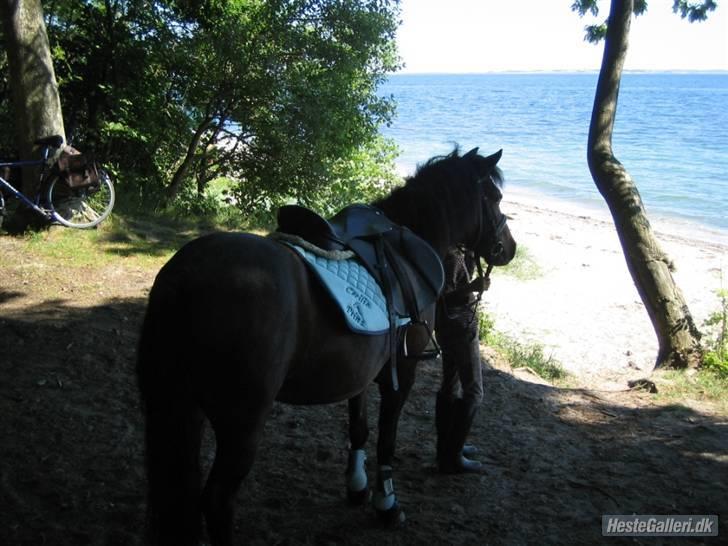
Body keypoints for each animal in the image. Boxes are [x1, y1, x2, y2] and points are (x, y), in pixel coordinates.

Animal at [136, 147, 516, 540]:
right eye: (496, 197)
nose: (509, 248)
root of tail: (184, 279)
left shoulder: (362, 368)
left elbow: (359, 428)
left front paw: (357, 486)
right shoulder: (403, 371)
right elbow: (387, 438)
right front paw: (386, 504)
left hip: (181, 407)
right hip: (240, 422)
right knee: (217, 500)